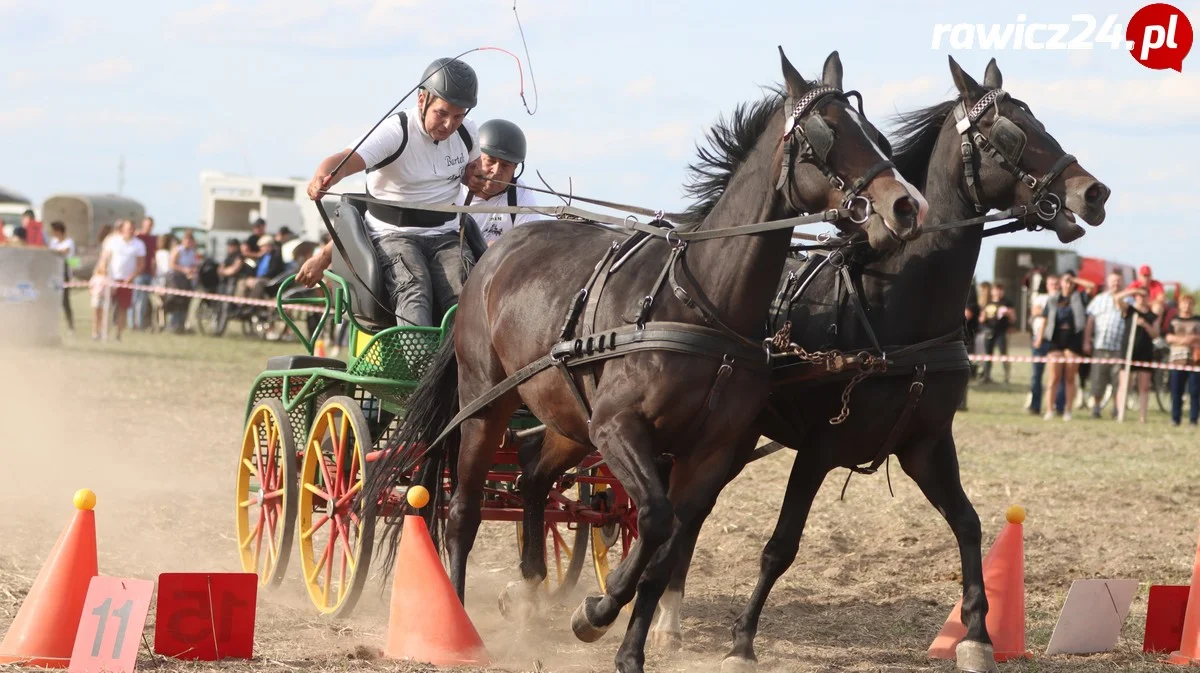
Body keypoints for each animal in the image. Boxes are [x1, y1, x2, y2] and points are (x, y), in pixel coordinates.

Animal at [369, 48, 921, 671]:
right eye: (825, 134)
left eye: (875, 133)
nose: (906, 205)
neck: (703, 303)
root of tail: (489, 257)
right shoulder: (620, 427)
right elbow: (655, 520)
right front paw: (598, 609)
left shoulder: (705, 454)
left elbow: (666, 546)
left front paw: (625, 646)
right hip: (487, 402)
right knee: (462, 509)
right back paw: (460, 620)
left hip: (569, 419)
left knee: (533, 477)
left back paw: (532, 593)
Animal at [652, 57, 1108, 671]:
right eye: (1011, 132)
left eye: (1039, 121)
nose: (1093, 191)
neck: (893, 306)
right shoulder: (819, 448)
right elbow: (780, 546)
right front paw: (742, 641)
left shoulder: (926, 443)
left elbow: (968, 524)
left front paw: (977, 637)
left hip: (731, 433)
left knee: (691, 511)